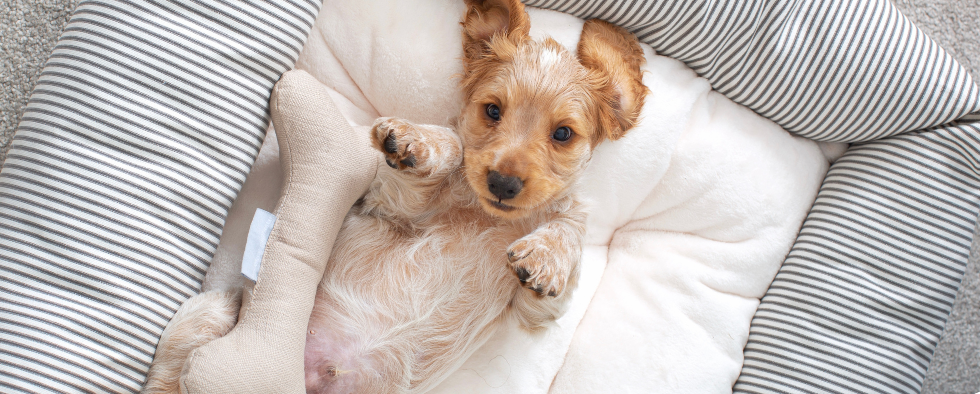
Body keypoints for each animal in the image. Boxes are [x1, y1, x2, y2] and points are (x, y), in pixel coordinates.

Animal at [144, 1, 644, 392]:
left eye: (563, 134)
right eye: (492, 110)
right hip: (206, 318)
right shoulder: (391, 205)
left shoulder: (534, 311)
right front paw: (417, 142)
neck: (486, 216)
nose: (503, 183)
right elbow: (451, 145)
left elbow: (569, 234)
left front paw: (546, 253)